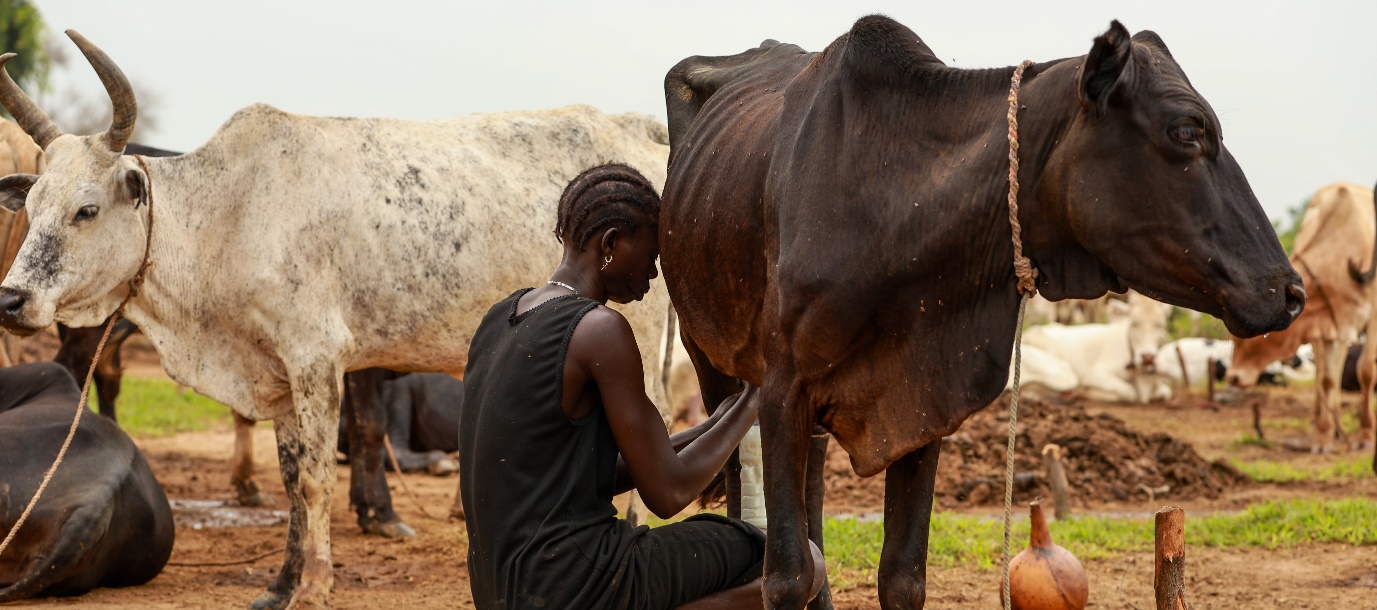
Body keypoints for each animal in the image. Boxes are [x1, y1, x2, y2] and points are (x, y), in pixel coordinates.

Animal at [659, 16, 1303, 609]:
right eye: (1188, 129)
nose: (1290, 290)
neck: (896, 206)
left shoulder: (919, 399)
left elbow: (902, 578)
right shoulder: (782, 390)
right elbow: (786, 576)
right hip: (710, 360)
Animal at [1228, 181, 1377, 454]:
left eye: (1250, 335)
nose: (1232, 378)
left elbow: (1366, 370)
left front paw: (1365, 435)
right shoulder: (1331, 326)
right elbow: (1327, 380)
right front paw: (1324, 438)